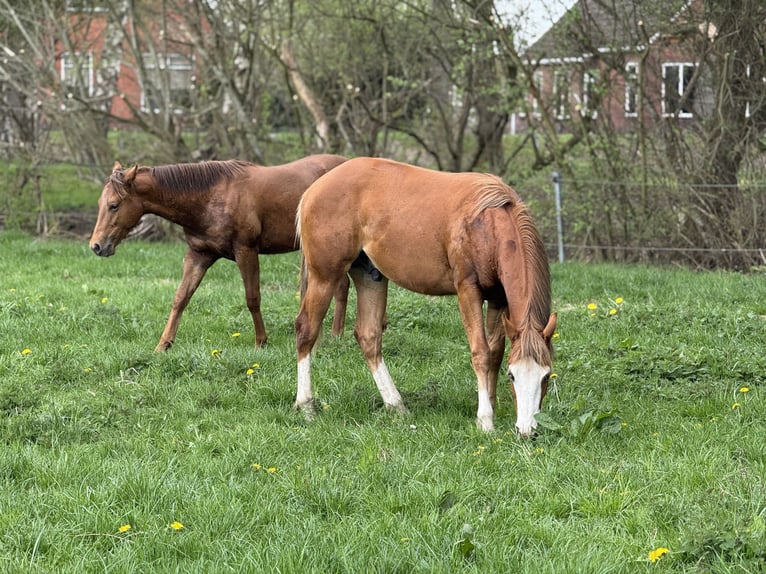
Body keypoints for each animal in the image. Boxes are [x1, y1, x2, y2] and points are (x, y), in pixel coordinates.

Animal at [89, 155, 350, 352]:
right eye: (100, 204)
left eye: (114, 205)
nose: (97, 246)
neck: (207, 197)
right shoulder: (199, 255)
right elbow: (180, 298)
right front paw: (163, 345)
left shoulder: (246, 251)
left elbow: (253, 298)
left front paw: (261, 342)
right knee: (341, 285)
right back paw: (335, 335)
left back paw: (336, 335)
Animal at [294, 157, 556, 436]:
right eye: (513, 375)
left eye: (546, 376)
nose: (526, 430)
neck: (488, 223)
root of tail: (313, 190)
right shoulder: (468, 291)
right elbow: (481, 353)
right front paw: (485, 420)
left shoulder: (497, 298)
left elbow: (495, 353)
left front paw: (491, 406)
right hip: (325, 277)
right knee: (306, 330)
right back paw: (306, 406)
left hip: (369, 276)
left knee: (368, 336)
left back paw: (396, 405)